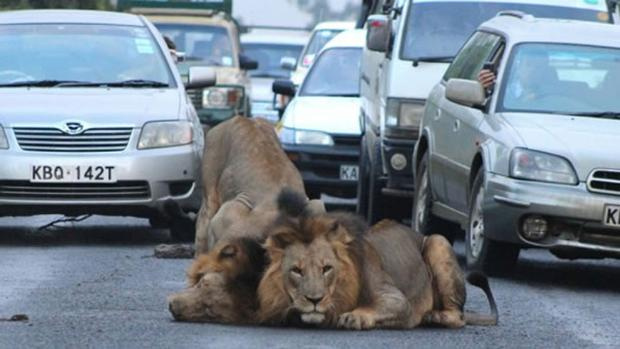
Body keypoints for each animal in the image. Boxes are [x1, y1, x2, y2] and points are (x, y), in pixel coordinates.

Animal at [256, 189, 498, 328]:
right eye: (297, 271)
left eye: (327, 268)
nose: (314, 300)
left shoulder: (396, 299)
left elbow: (380, 306)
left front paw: (354, 317)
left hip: (437, 241)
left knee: (459, 317)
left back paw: (434, 316)